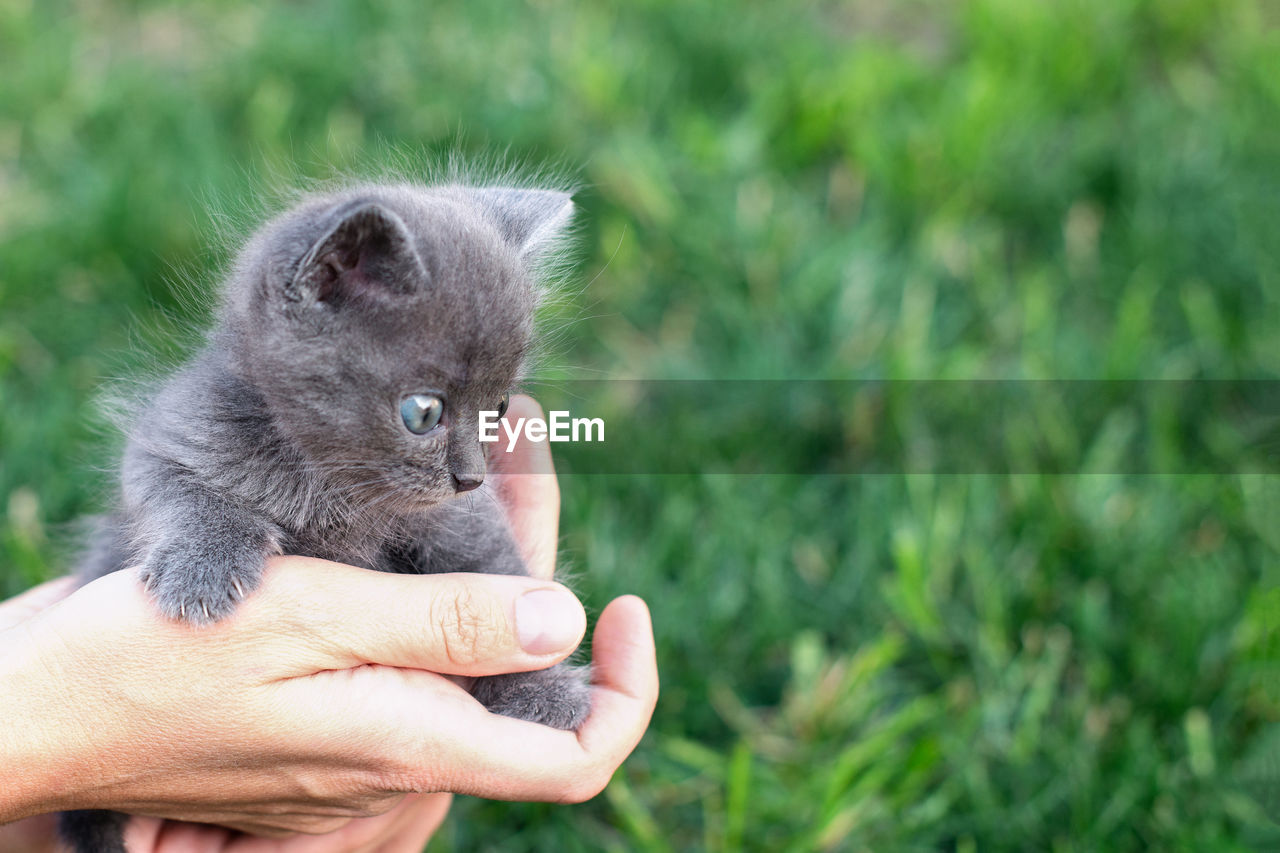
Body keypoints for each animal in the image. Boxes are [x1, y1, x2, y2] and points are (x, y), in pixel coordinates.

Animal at [60, 179, 588, 850]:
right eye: (423, 412)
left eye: (497, 407)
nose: (470, 476)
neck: (331, 482)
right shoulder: (169, 437)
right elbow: (183, 494)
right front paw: (202, 568)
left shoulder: (459, 518)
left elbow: (496, 565)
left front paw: (541, 684)